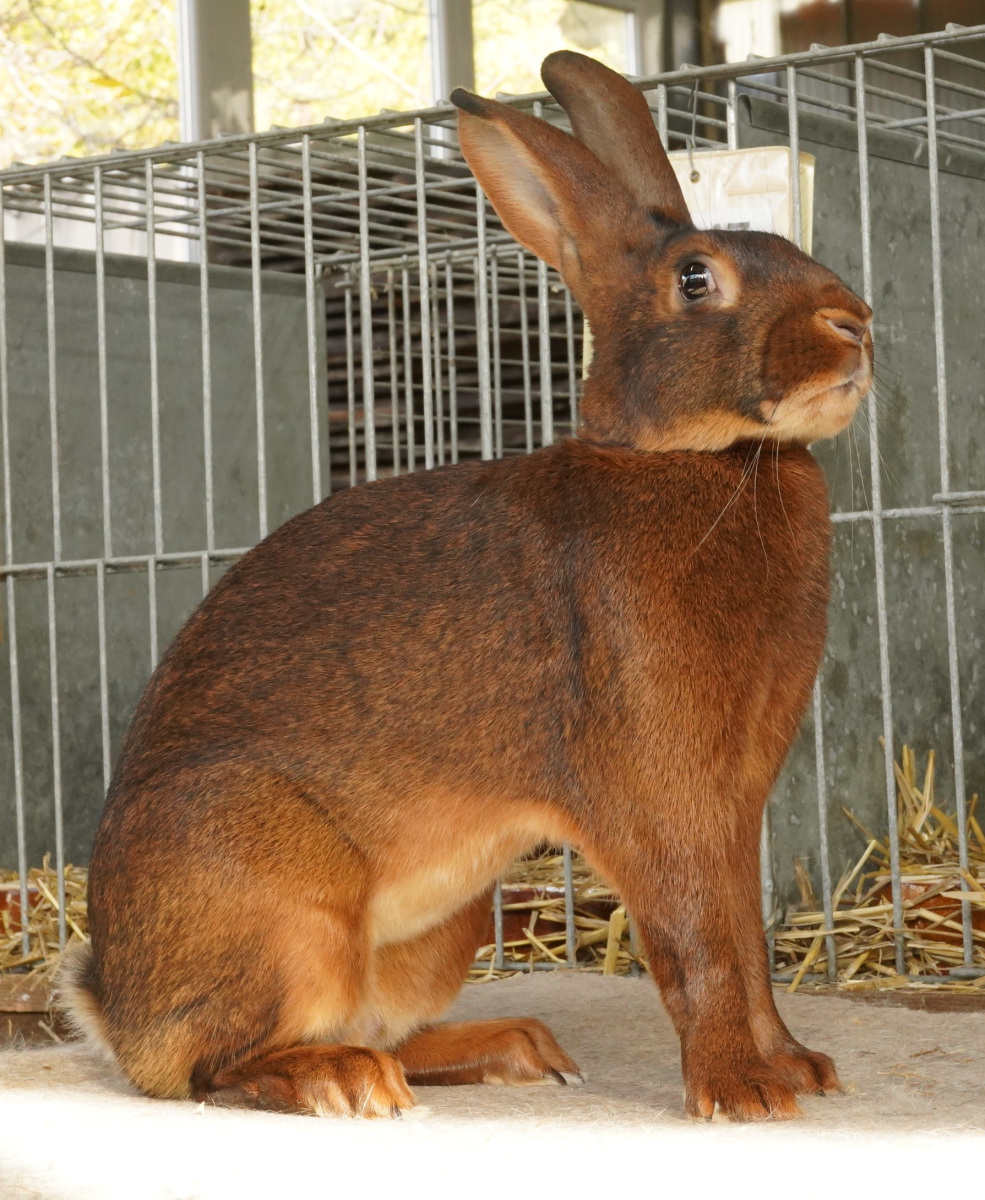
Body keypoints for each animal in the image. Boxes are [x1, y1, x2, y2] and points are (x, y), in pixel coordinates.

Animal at [58, 49, 872, 1122]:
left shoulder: (736, 801)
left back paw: (513, 1047)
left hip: (442, 929)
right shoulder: (657, 789)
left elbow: (747, 939)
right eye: (696, 278)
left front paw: (797, 1067)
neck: (695, 458)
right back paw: (344, 1081)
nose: (855, 324)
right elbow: (698, 942)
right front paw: (742, 1092)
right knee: (220, 1064)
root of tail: (111, 1005)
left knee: (373, 1026)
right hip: (273, 888)